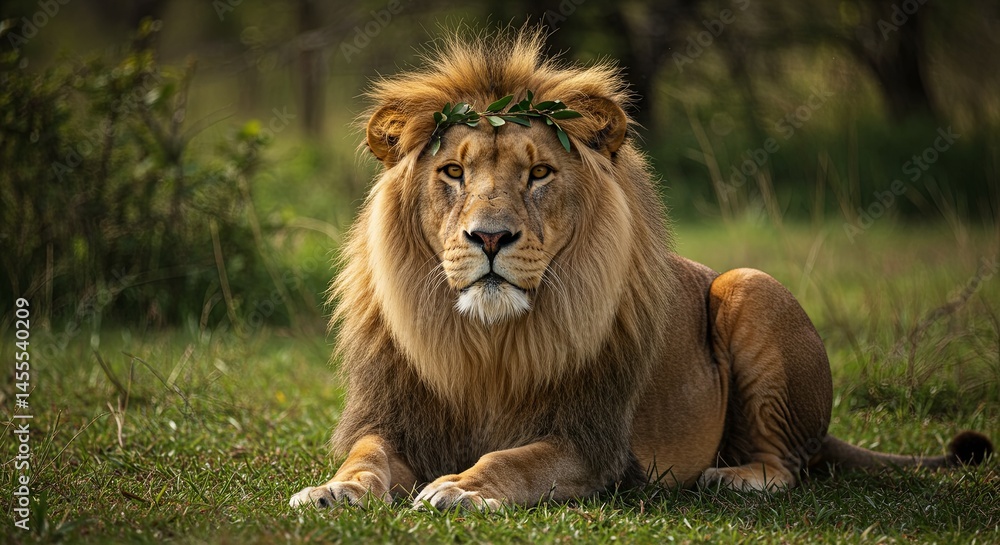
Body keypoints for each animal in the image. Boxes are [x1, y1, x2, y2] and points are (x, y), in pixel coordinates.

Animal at [289, 28, 992, 511]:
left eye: (538, 172)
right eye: (453, 171)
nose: (490, 236)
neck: (487, 343)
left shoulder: (591, 442)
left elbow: (515, 461)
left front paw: (461, 488)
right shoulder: (391, 417)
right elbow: (366, 457)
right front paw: (331, 491)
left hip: (750, 285)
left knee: (789, 464)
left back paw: (732, 477)